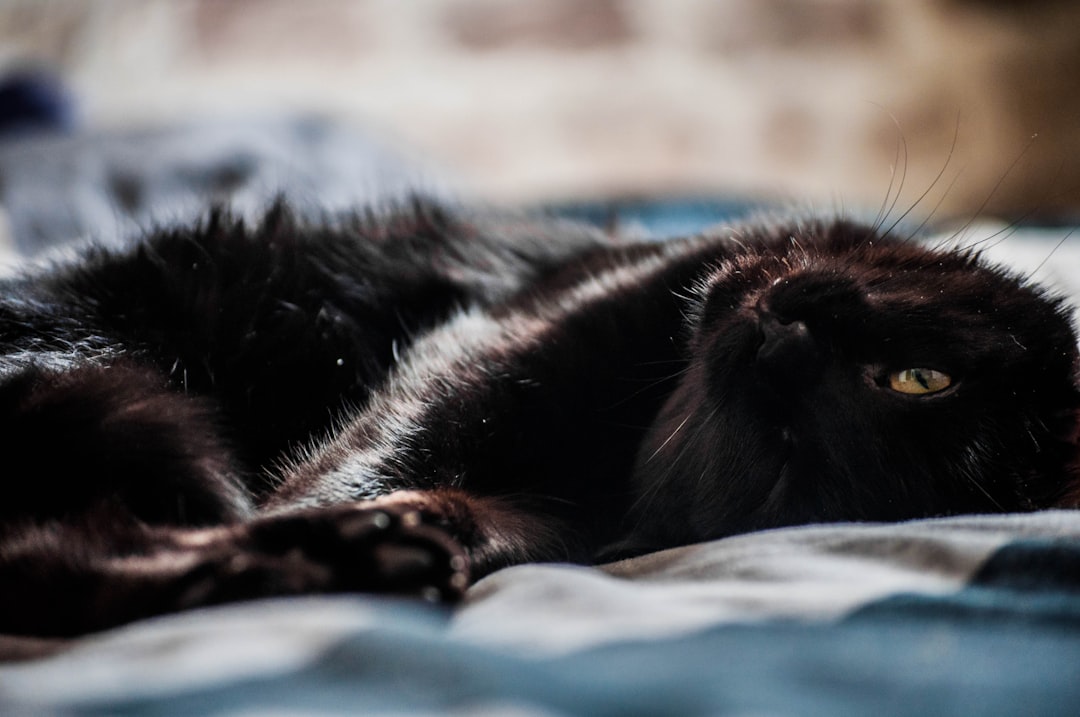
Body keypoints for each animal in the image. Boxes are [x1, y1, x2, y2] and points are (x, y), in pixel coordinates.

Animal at [0, 198, 1075, 634]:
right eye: (921, 378)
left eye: (787, 454)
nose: (780, 344)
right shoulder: (484, 347)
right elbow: (373, 450)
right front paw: (319, 515)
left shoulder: (565, 520)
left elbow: (490, 522)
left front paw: (403, 532)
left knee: (54, 565)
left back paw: (335, 563)